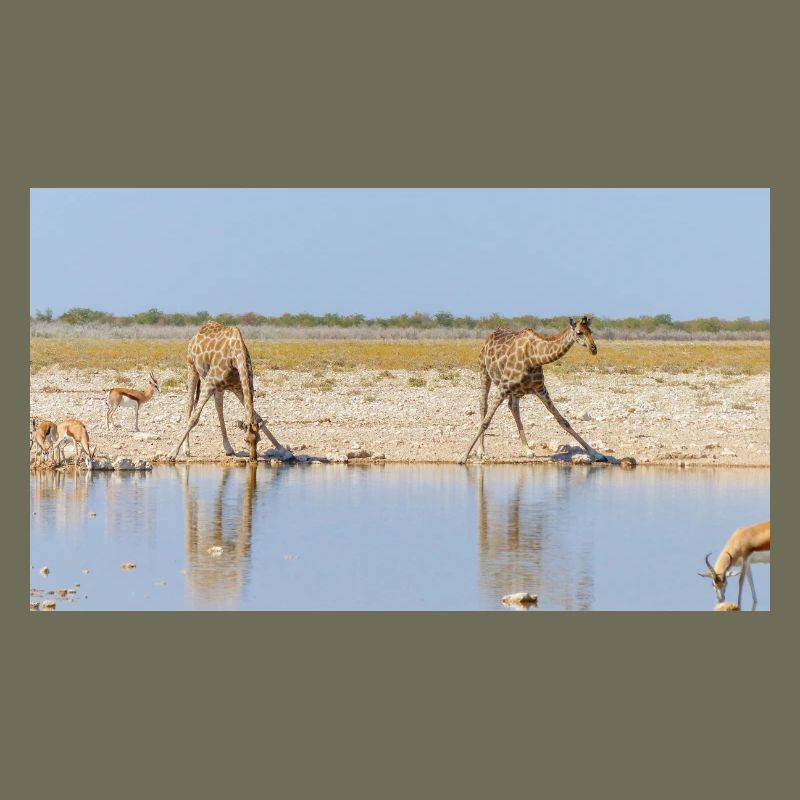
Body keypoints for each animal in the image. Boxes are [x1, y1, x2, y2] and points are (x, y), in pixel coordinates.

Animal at [168, 321, 285, 462]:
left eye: (258, 440)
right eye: (245, 440)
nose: (253, 459)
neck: (236, 356)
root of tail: (196, 335)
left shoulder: (238, 388)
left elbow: (258, 417)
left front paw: (282, 448)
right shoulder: (209, 383)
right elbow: (194, 418)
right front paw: (172, 453)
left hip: (219, 387)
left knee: (219, 409)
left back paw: (228, 448)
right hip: (192, 367)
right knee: (189, 405)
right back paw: (186, 449)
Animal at [458, 316, 608, 464]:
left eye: (591, 331)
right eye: (579, 332)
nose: (593, 349)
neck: (534, 357)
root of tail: (490, 336)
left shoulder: (541, 389)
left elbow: (563, 421)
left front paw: (597, 454)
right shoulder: (503, 387)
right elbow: (485, 422)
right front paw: (463, 456)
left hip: (516, 391)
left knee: (513, 407)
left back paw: (527, 449)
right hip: (484, 372)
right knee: (483, 405)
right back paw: (481, 450)